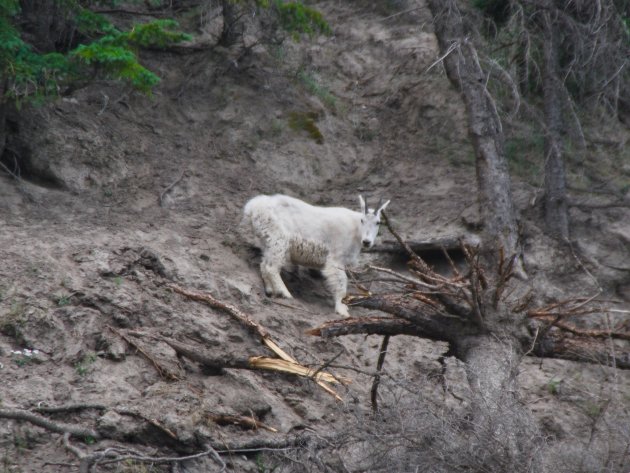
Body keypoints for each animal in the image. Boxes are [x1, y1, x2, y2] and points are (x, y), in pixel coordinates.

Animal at [242, 194, 390, 316]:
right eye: (362, 220)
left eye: (378, 222)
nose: (367, 242)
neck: (356, 231)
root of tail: (252, 207)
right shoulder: (336, 259)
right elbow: (341, 282)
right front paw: (342, 309)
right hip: (279, 240)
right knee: (271, 268)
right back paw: (285, 293)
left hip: (268, 241)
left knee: (264, 265)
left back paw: (270, 291)